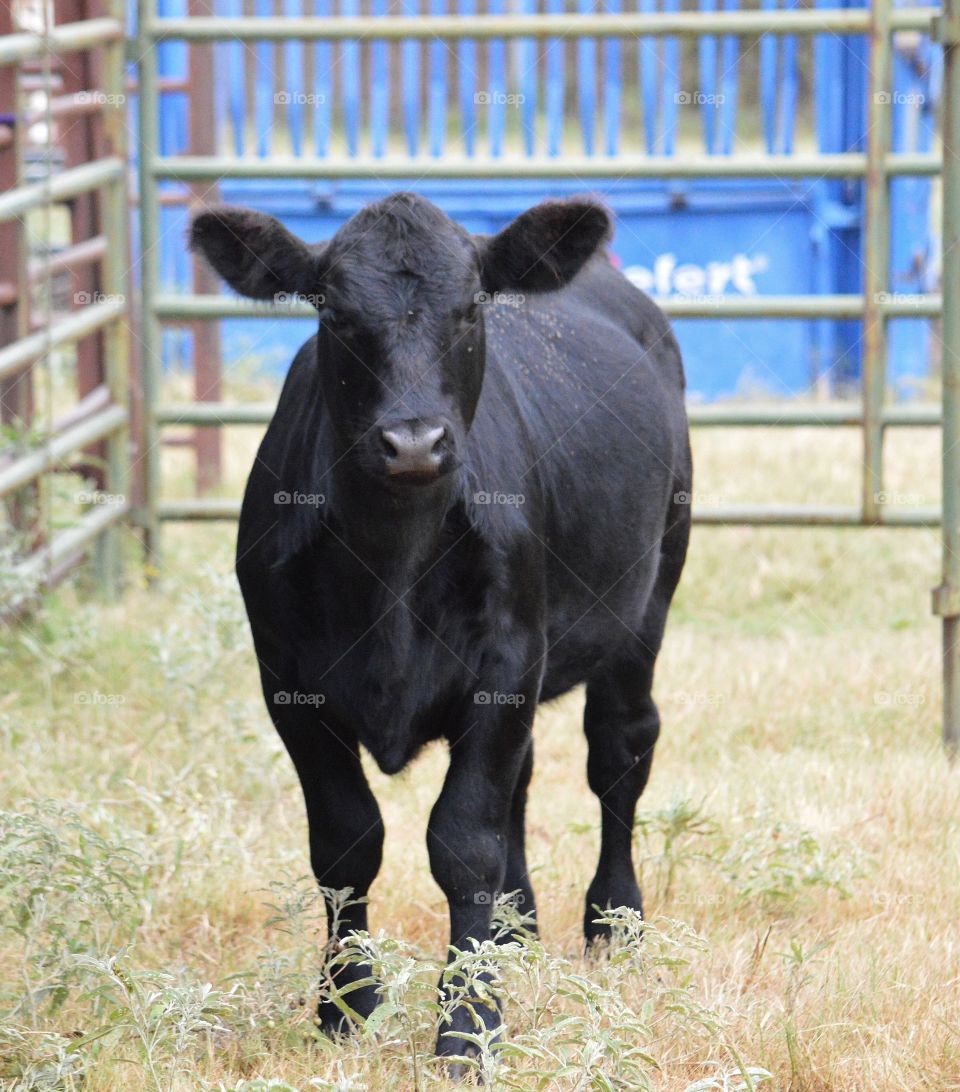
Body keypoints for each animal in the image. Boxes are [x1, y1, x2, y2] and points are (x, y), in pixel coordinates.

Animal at [190, 192, 691, 1064]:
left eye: (470, 308)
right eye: (334, 312)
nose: (415, 441)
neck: (392, 566)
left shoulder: (508, 664)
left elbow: (464, 843)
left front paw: (469, 1023)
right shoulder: (288, 685)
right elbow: (346, 842)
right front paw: (346, 1004)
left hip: (648, 601)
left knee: (620, 752)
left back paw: (613, 922)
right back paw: (516, 930)